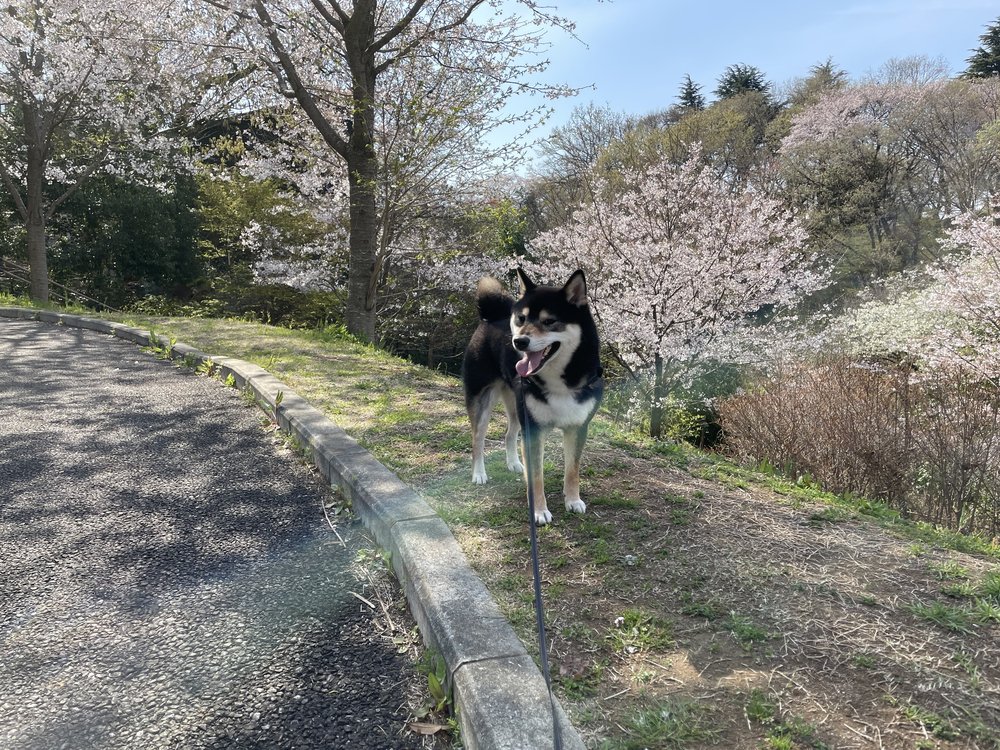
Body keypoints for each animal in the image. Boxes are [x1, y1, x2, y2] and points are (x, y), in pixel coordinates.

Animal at [460, 270, 600, 528]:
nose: (519, 342)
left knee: (509, 434)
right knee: (477, 439)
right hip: (482, 400)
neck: (558, 382)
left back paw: (514, 463)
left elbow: (572, 470)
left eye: (549, 321)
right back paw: (479, 473)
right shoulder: (534, 429)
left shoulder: (577, 427)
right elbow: (536, 478)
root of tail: (492, 317)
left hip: (517, 407)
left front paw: (573, 500)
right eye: (521, 319)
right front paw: (539, 511)